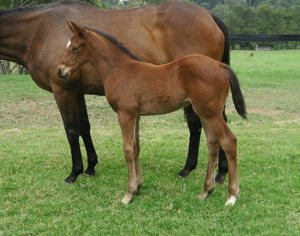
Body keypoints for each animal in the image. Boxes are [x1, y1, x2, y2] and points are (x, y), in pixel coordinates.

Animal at [0, 0, 230, 183]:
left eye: (74, 48)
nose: (60, 69)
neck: (41, 30)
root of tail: (209, 15)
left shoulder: (63, 90)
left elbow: (71, 131)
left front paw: (74, 173)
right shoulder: (78, 91)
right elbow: (84, 127)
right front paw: (90, 167)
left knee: (202, 124)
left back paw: (202, 171)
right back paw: (212, 171)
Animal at [58, 22, 246, 206]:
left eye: (75, 47)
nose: (60, 71)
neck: (119, 70)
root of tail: (220, 65)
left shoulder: (125, 114)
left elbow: (127, 150)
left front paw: (128, 194)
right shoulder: (136, 115)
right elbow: (136, 147)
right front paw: (138, 187)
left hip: (211, 112)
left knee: (229, 141)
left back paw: (232, 196)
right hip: (203, 112)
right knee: (213, 143)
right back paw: (206, 191)